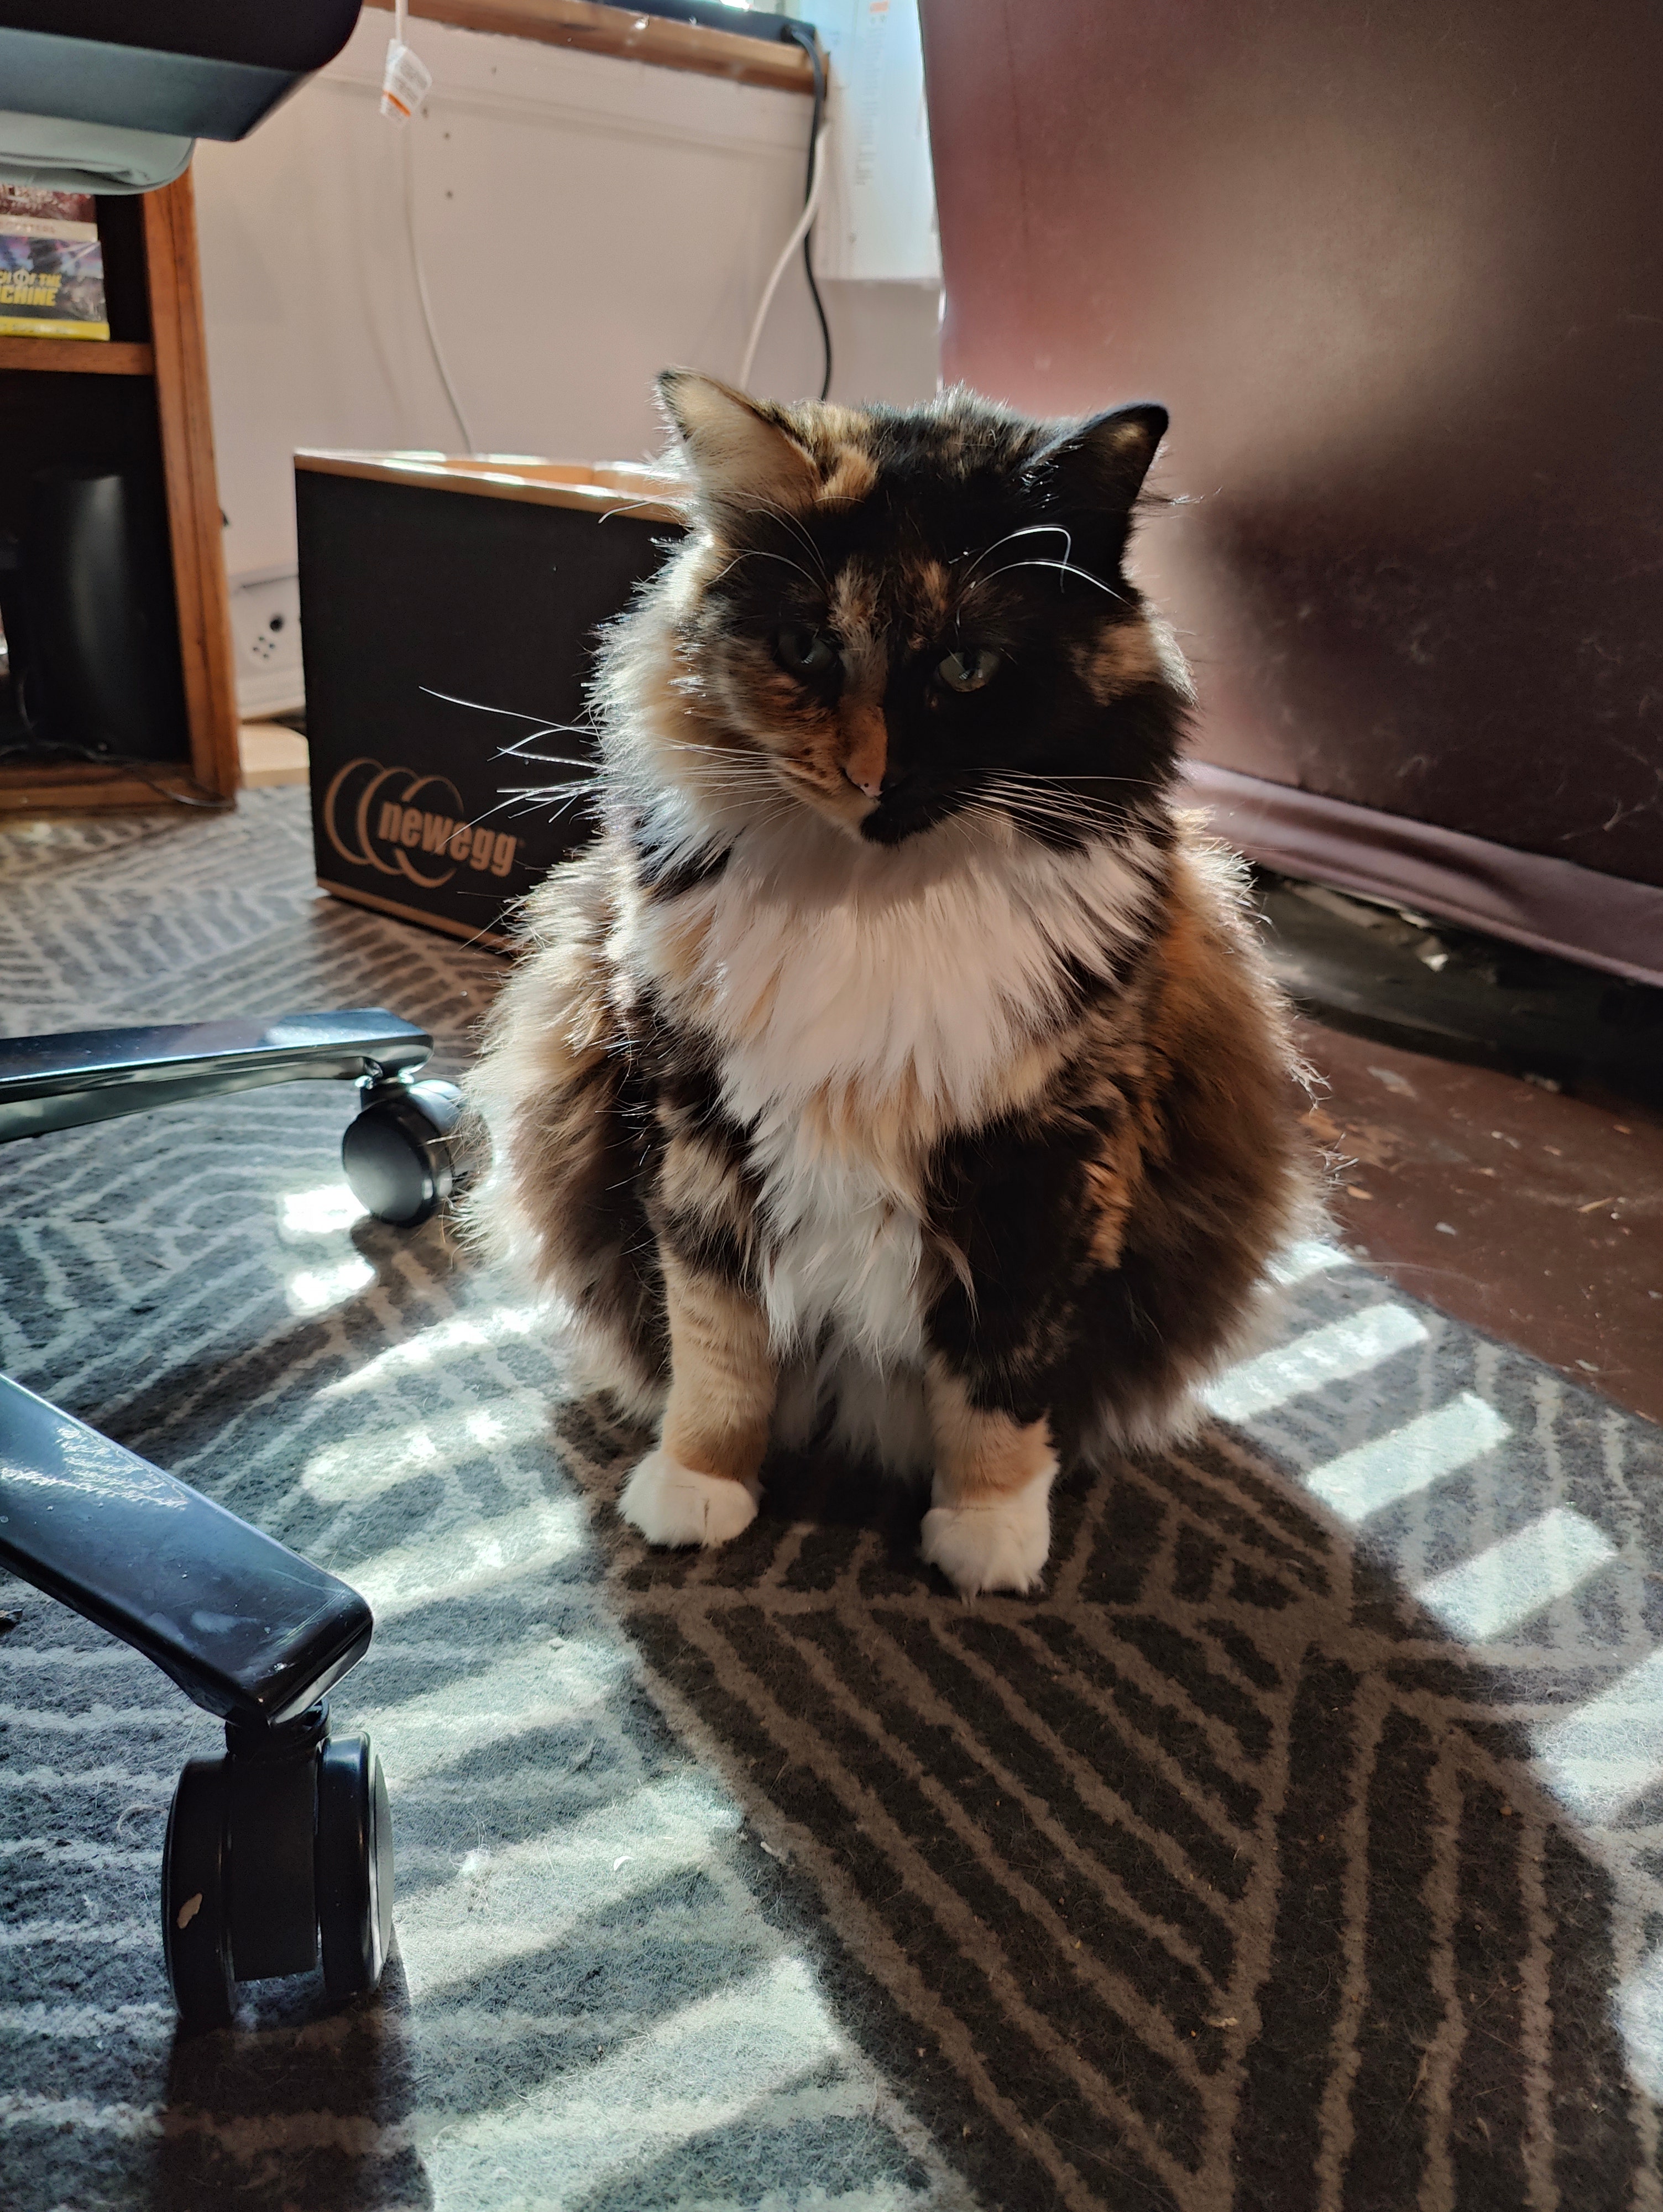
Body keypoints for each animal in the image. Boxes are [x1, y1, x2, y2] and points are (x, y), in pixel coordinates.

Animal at [464, 372, 1319, 1596]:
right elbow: (717, 1348)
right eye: (806, 647)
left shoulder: (1049, 1162)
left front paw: (991, 1534)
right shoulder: (695, 1134)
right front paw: (698, 1484)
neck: (874, 904)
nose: (872, 777)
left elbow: (1001, 1380)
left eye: (966, 666)